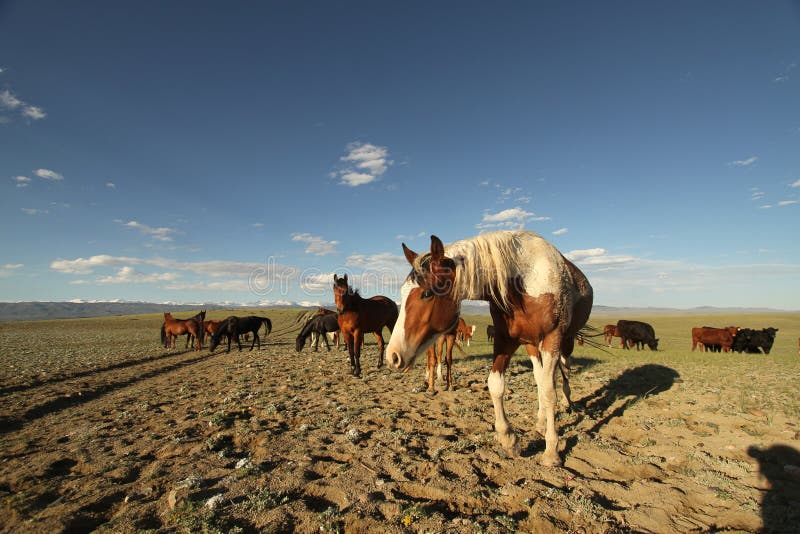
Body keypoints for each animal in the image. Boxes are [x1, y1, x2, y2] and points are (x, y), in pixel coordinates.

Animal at [385, 231, 593, 466]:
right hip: (531, 345)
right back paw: (541, 422)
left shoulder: (552, 339)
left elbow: (550, 392)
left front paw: (551, 451)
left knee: (560, 373)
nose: (393, 356)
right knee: (540, 378)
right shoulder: (505, 339)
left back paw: (564, 406)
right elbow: (496, 384)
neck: (524, 282)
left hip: (564, 343)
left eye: (427, 293)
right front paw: (509, 438)